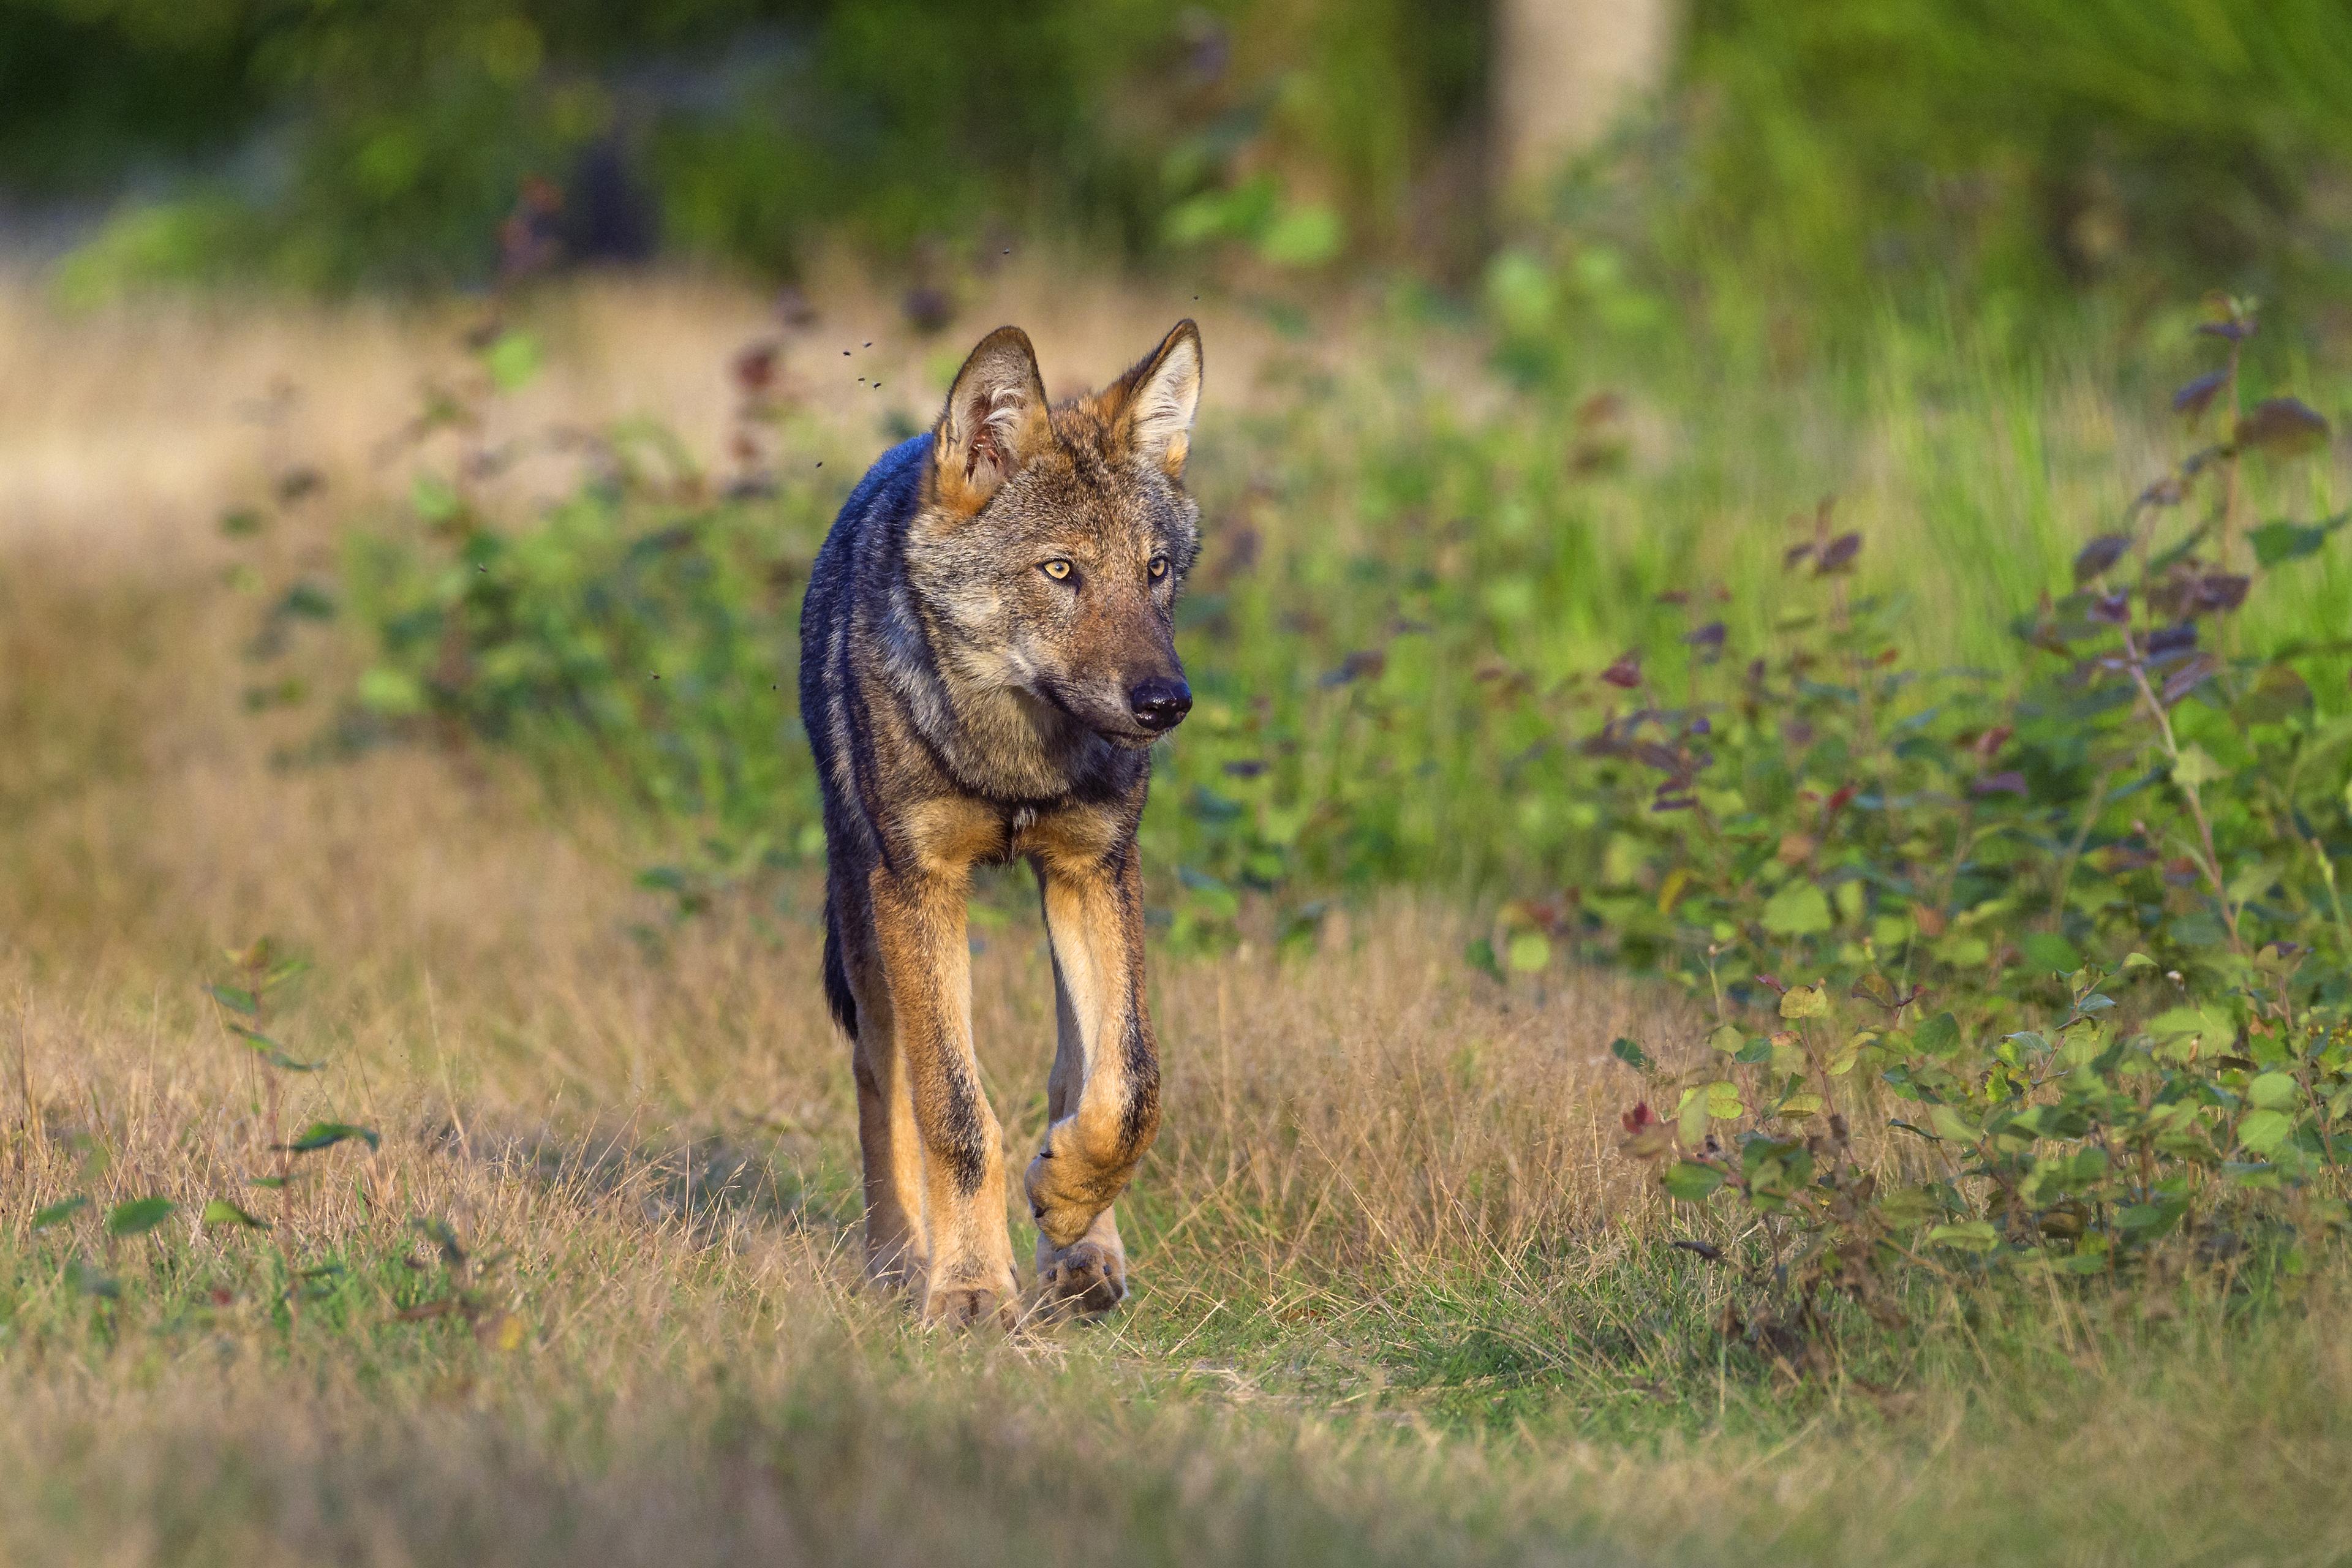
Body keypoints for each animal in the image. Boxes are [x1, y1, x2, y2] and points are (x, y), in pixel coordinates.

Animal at [799, 319, 1204, 1327]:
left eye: (1154, 571)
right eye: (1060, 571)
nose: (1167, 702)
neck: (1014, 758)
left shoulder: (1097, 868)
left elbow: (1131, 1086)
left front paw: (1065, 1199)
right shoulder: (919, 885)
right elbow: (954, 1111)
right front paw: (971, 1288)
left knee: (1077, 1072)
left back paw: (1083, 1250)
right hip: (863, 916)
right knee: (882, 1080)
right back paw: (899, 1260)